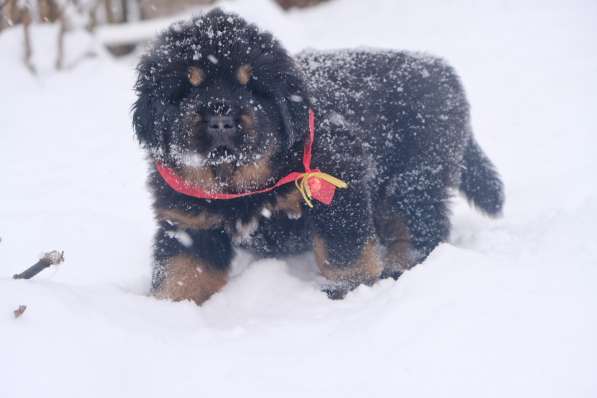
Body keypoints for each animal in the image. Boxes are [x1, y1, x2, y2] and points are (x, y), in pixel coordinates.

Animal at [132, 9, 502, 304]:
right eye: (186, 89)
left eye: (253, 87)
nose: (221, 118)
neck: (242, 185)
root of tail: (440, 69)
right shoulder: (189, 221)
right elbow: (183, 272)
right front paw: (166, 310)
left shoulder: (338, 185)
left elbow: (343, 251)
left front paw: (347, 290)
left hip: (415, 176)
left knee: (420, 226)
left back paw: (400, 267)